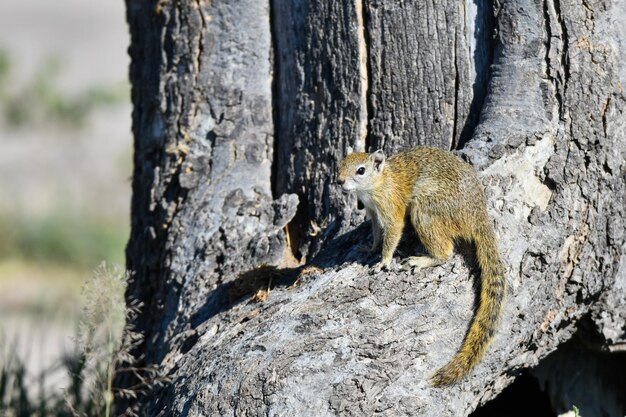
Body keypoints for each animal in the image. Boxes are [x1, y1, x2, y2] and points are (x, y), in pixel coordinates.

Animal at [334, 145, 504, 384]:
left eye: (361, 170)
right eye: (340, 164)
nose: (339, 181)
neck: (380, 181)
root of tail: (477, 216)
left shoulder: (390, 206)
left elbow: (392, 233)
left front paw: (384, 261)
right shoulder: (373, 213)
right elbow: (377, 234)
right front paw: (370, 249)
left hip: (425, 210)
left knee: (445, 252)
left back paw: (422, 260)